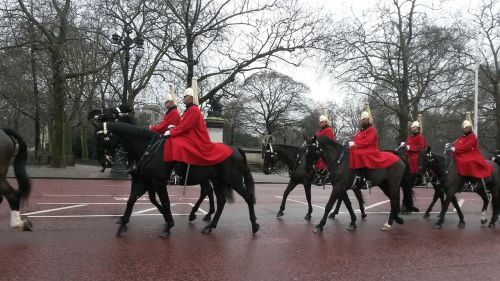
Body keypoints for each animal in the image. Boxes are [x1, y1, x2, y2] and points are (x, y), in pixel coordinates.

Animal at [92, 121, 260, 235]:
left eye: (102, 138)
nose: (103, 162)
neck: (148, 149)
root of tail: (236, 149)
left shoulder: (157, 182)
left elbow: (165, 202)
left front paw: (168, 224)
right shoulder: (146, 180)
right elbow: (132, 199)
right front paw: (123, 223)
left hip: (233, 180)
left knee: (247, 197)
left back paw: (254, 225)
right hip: (217, 180)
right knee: (219, 200)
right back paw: (209, 224)